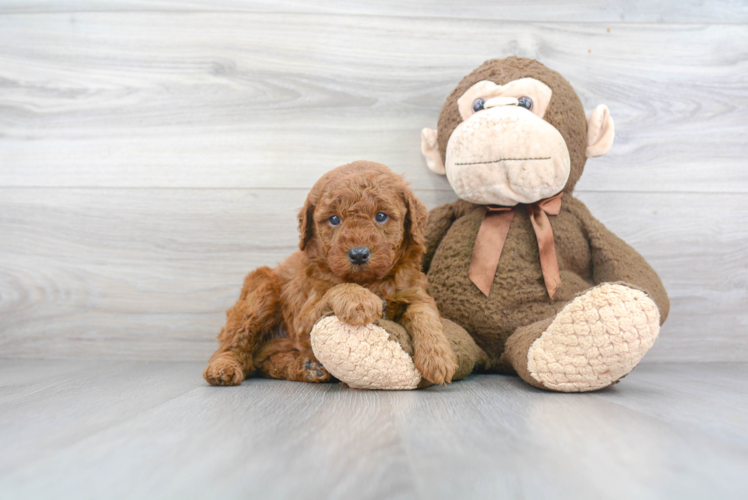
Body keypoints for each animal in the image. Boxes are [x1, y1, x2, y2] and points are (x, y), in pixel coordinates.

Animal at [206, 160, 462, 386]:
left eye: (380, 216)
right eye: (334, 219)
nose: (358, 254)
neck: (370, 282)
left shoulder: (415, 292)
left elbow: (423, 313)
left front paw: (438, 358)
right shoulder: (303, 318)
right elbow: (338, 287)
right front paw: (359, 300)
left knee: (264, 363)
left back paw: (309, 369)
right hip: (260, 293)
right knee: (234, 342)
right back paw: (223, 368)